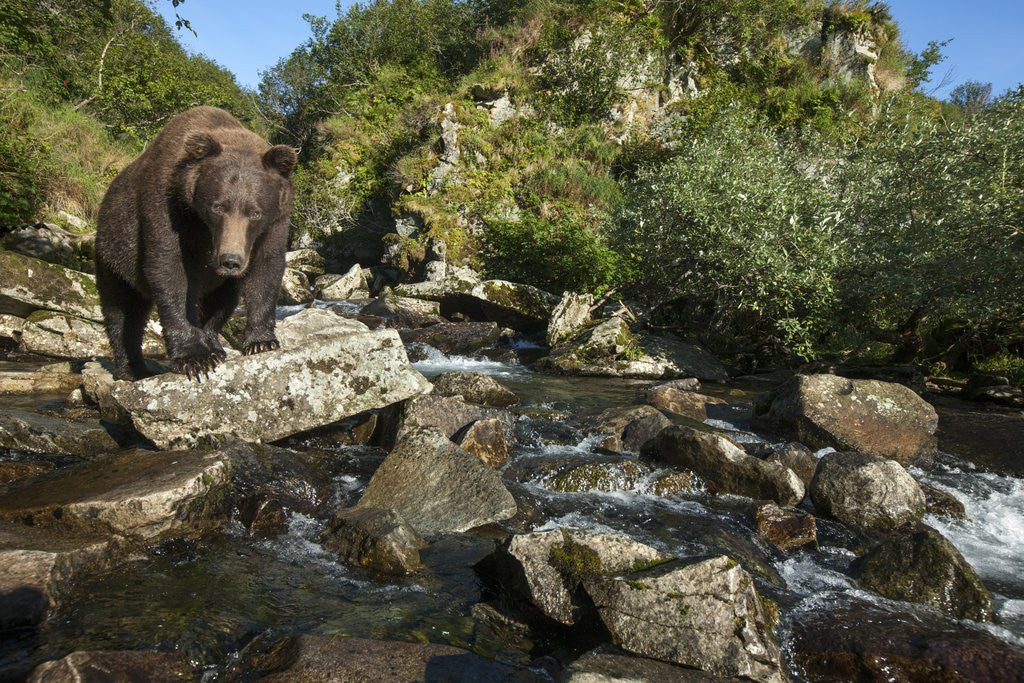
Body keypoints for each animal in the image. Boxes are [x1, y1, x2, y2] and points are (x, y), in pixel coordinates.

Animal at [95, 106, 297, 380]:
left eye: (254, 212)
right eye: (218, 206)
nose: (230, 260)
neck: (202, 225)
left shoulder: (275, 221)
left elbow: (266, 267)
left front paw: (261, 341)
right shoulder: (166, 208)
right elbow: (169, 270)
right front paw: (194, 358)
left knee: (223, 299)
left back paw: (214, 346)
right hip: (114, 254)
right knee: (123, 312)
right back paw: (134, 368)